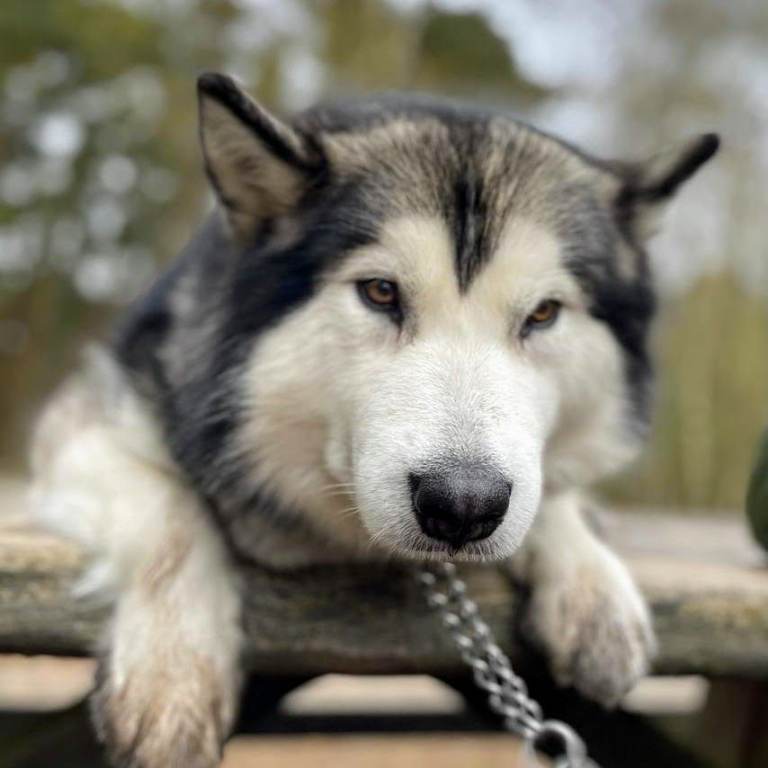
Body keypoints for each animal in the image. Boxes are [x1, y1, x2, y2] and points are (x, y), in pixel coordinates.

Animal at [29, 73, 719, 767]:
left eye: (544, 313)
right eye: (381, 292)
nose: (463, 506)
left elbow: (552, 494)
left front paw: (593, 588)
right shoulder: (89, 411)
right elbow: (171, 514)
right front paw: (171, 676)